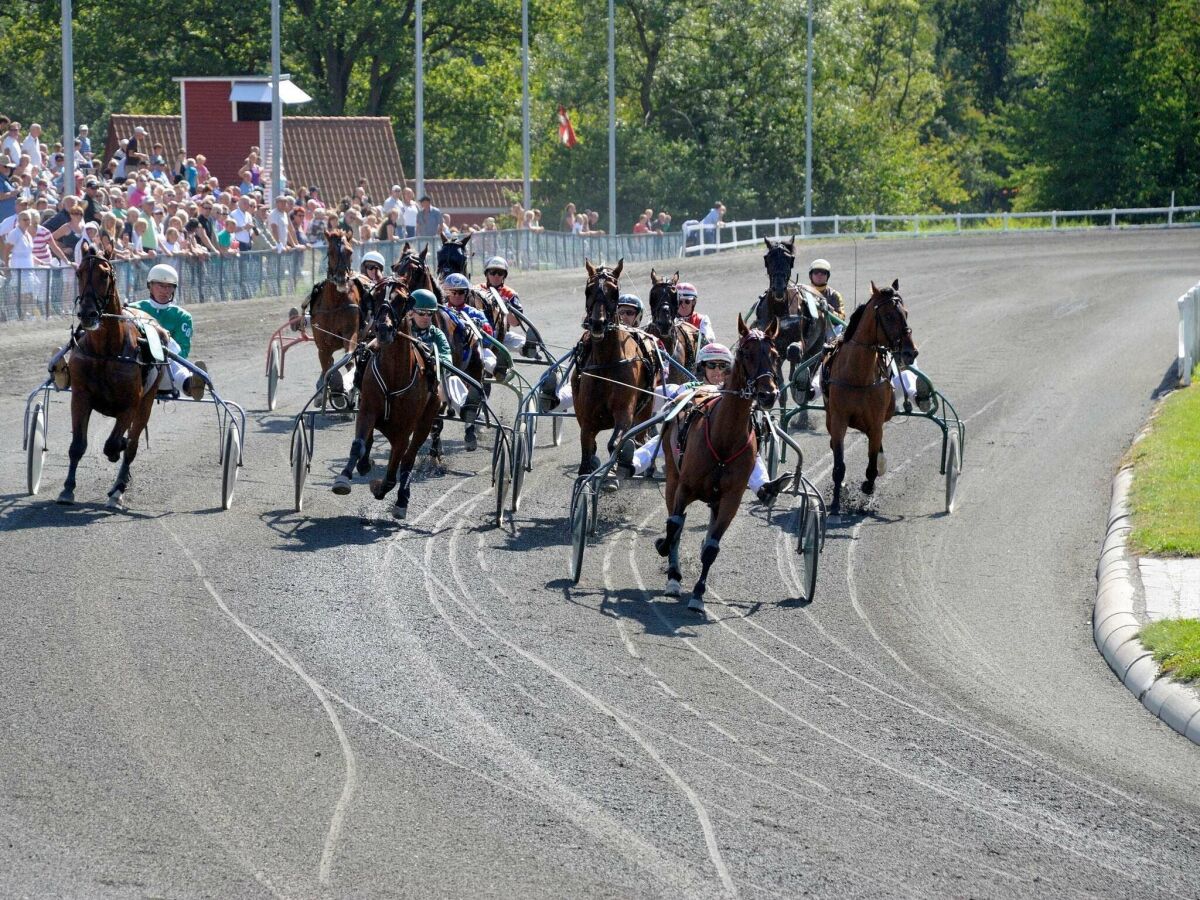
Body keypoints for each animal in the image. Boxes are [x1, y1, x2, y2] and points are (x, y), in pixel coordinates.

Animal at [58, 247, 168, 511]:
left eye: (104, 275)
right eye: (78, 273)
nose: (87, 313)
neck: (106, 351)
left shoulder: (130, 404)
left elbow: (114, 445)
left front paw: (117, 455)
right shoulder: (80, 397)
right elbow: (77, 446)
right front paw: (67, 490)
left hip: (147, 401)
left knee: (132, 445)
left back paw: (118, 489)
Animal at [328, 285, 441, 518]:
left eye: (401, 300)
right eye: (376, 297)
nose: (383, 330)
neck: (394, 375)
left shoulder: (405, 429)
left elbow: (394, 469)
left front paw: (380, 488)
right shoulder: (367, 409)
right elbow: (358, 444)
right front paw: (344, 477)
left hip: (426, 420)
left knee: (408, 458)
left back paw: (402, 499)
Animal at [568, 256, 662, 475]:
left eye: (614, 292)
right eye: (588, 290)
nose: (598, 323)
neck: (606, 364)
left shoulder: (624, 411)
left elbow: (615, 443)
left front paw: (619, 465)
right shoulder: (587, 419)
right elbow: (587, 452)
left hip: (646, 406)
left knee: (641, 435)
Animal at [652, 314, 782, 614]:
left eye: (776, 355)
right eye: (746, 353)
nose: (768, 394)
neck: (725, 438)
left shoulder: (731, 499)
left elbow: (712, 547)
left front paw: (698, 595)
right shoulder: (685, 488)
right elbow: (674, 526)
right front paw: (666, 556)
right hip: (672, 476)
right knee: (675, 521)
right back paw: (673, 575)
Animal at [825, 278, 916, 518]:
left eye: (906, 312)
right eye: (889, 316)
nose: (911, 352)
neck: (857, 375)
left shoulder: (875, 423)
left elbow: (873, 466)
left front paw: (867, 488)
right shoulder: (838, 420)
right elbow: (838, 465)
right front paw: (836, 503)